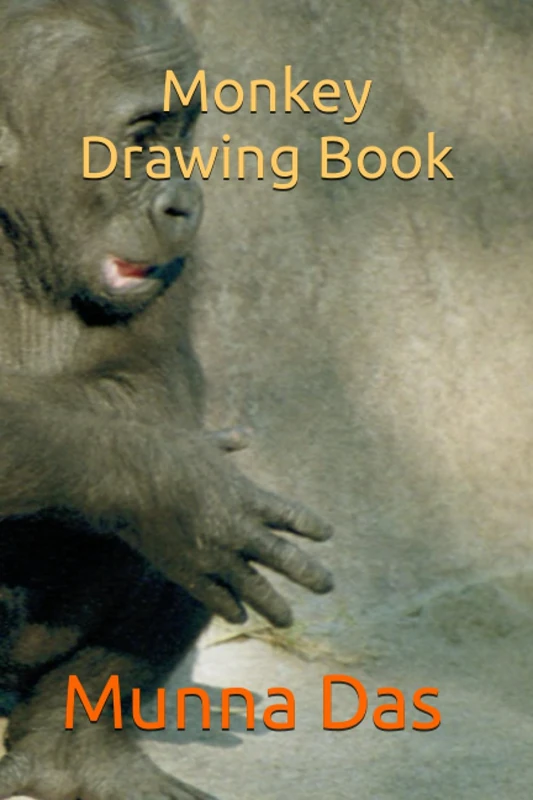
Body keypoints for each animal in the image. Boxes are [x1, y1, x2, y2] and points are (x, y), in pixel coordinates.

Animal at [0, 1, 333, 798]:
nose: (183, 198)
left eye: (181, 136)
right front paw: (184, 489)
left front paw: (182, 488)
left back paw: (76, 753)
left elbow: (154, 388)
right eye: (143, 138)